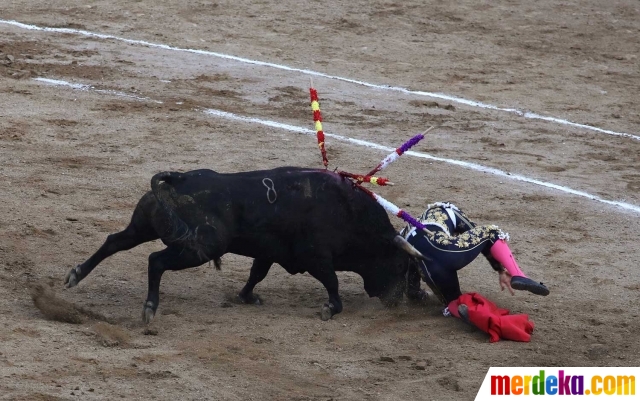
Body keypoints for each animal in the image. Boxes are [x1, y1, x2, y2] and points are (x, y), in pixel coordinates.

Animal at [63, 166, 430, 322]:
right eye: (402, 265)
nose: (399, 301)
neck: (351, 216)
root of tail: (180, 178)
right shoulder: (315, 257)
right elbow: (332, 282)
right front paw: (331, 308)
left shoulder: (269, 252)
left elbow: (257, 274)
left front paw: (247, 296)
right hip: (200, 248)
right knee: (156, 261)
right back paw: (150, 308)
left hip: (143, 226)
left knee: (114, 242)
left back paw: (75, 275)